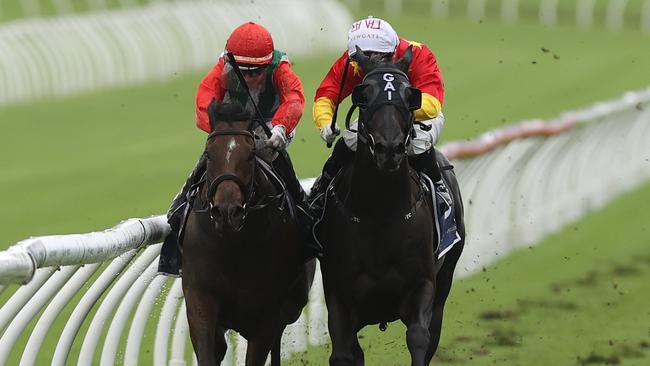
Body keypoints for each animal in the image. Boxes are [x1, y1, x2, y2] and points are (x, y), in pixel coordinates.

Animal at [181, 100, 316, 366]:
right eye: (209, 153)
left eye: (251, 153)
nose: (227, 211)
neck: (233, 245)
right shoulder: (199, 300)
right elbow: (207, 351)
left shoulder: (268, 312)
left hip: (292, 306)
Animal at [312, 47, 460, 364]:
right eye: (364, 95)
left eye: (409, 94)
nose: (388, 149)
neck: (379, 212)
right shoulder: (338, 297)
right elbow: (342, 353)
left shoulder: (423, 285)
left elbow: (419, 338)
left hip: (446, 280)